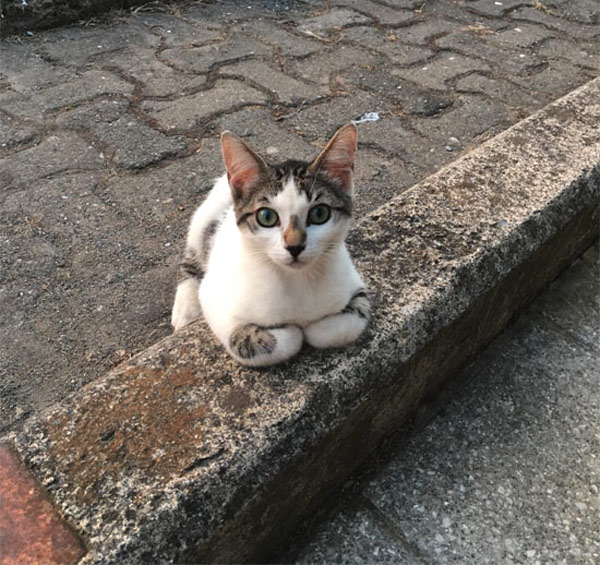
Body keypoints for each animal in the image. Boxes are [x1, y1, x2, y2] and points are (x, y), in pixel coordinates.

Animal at [170, 123, 370, 366]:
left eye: (319, 213)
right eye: (266, 216)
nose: (295, 247)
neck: (296, 280)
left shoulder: (354, 284)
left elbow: (349, 323)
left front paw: (313, 328)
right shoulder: (214, 297)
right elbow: (248, 341)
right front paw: (291, 333)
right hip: (202, 222)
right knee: (189, 260)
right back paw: (186, 308)